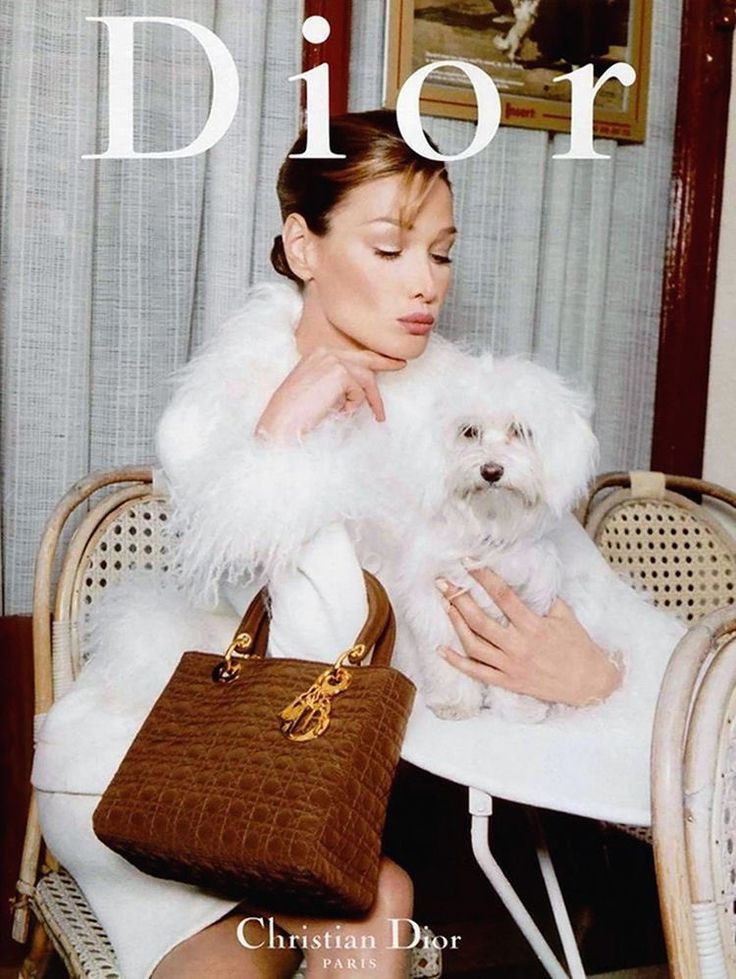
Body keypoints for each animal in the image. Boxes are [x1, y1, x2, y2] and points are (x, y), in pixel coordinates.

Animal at [370, 356, 600, 724]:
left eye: (519, 431)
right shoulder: (435, 602)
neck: (489, 527)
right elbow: (447, 657)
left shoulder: (526, 609)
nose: (491, 471)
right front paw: (456, 703)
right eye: (469, 431)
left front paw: (519, 708)